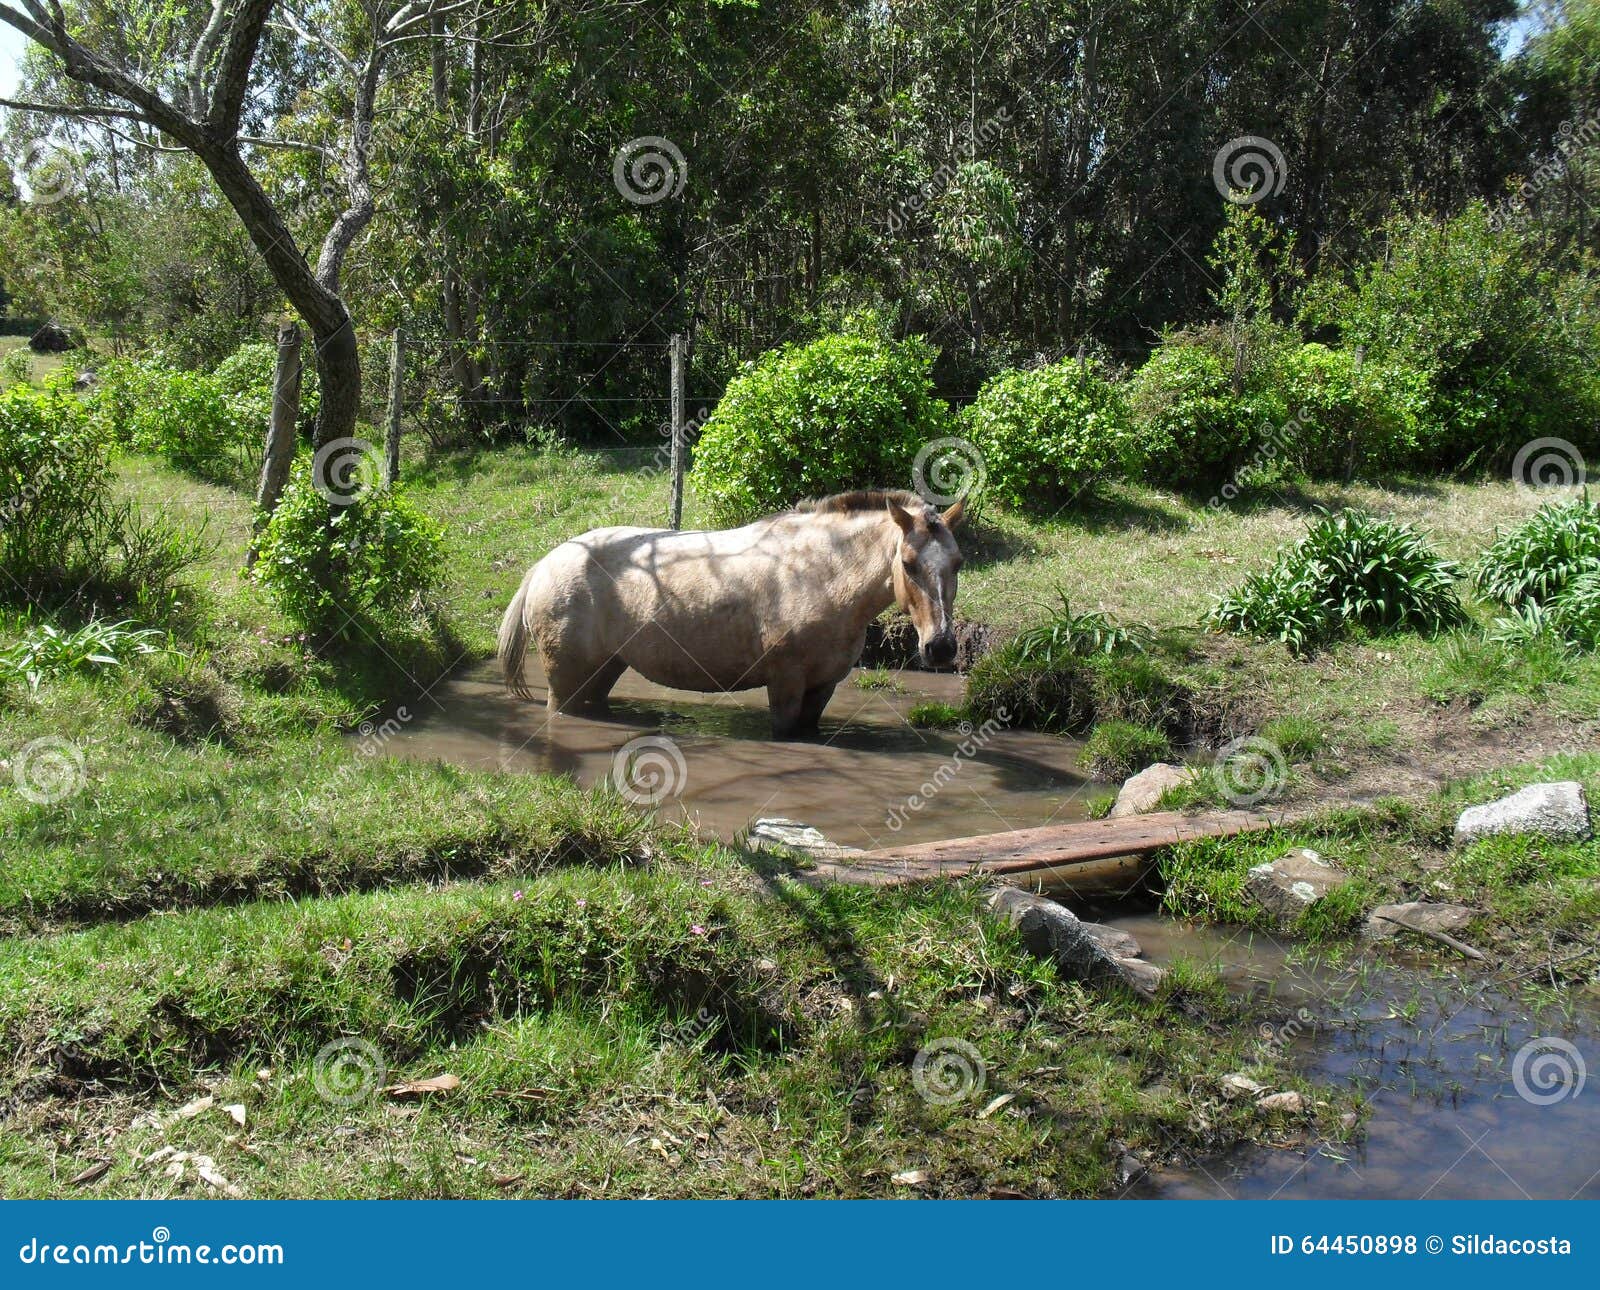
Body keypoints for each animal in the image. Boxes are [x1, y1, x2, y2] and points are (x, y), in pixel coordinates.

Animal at [497, 489, 965, 738]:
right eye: (908, 563)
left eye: (958, 563)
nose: (941, 647)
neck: (819, 573)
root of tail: (545, 564)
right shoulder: (786, 684)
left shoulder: (823, 686)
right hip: (565, 681)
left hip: (603, 671)